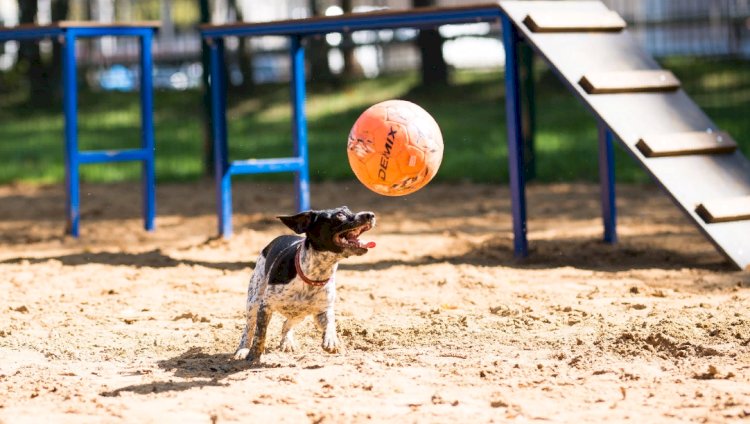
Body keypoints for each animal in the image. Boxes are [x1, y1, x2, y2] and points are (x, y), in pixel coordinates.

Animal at [234, 205, 376, 362]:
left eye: (349, 210)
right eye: (339, 215)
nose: (371, 215)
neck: (313, 276)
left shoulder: (323, 310)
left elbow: (330, 324)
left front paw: (331, 340)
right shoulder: (265, 307)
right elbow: (260, 334)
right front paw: (254, 354)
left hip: (300, 314)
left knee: (286, 324)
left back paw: (287, 342)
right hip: (253, 302)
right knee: (249, 328)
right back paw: (242, 349)